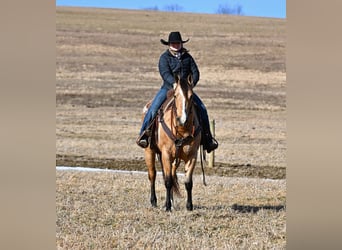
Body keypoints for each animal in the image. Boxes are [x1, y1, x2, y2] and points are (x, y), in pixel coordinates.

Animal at [142, 73, 203, 211]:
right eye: (175, 96)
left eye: (191, 96)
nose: (182, 119)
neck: (182, 130)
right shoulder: (166, 154)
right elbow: (168, 181)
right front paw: (168, 207)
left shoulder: (192, 156)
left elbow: (188, 182)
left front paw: (189, 206)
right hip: (149, 151)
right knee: (152, 175)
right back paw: (154, 201)